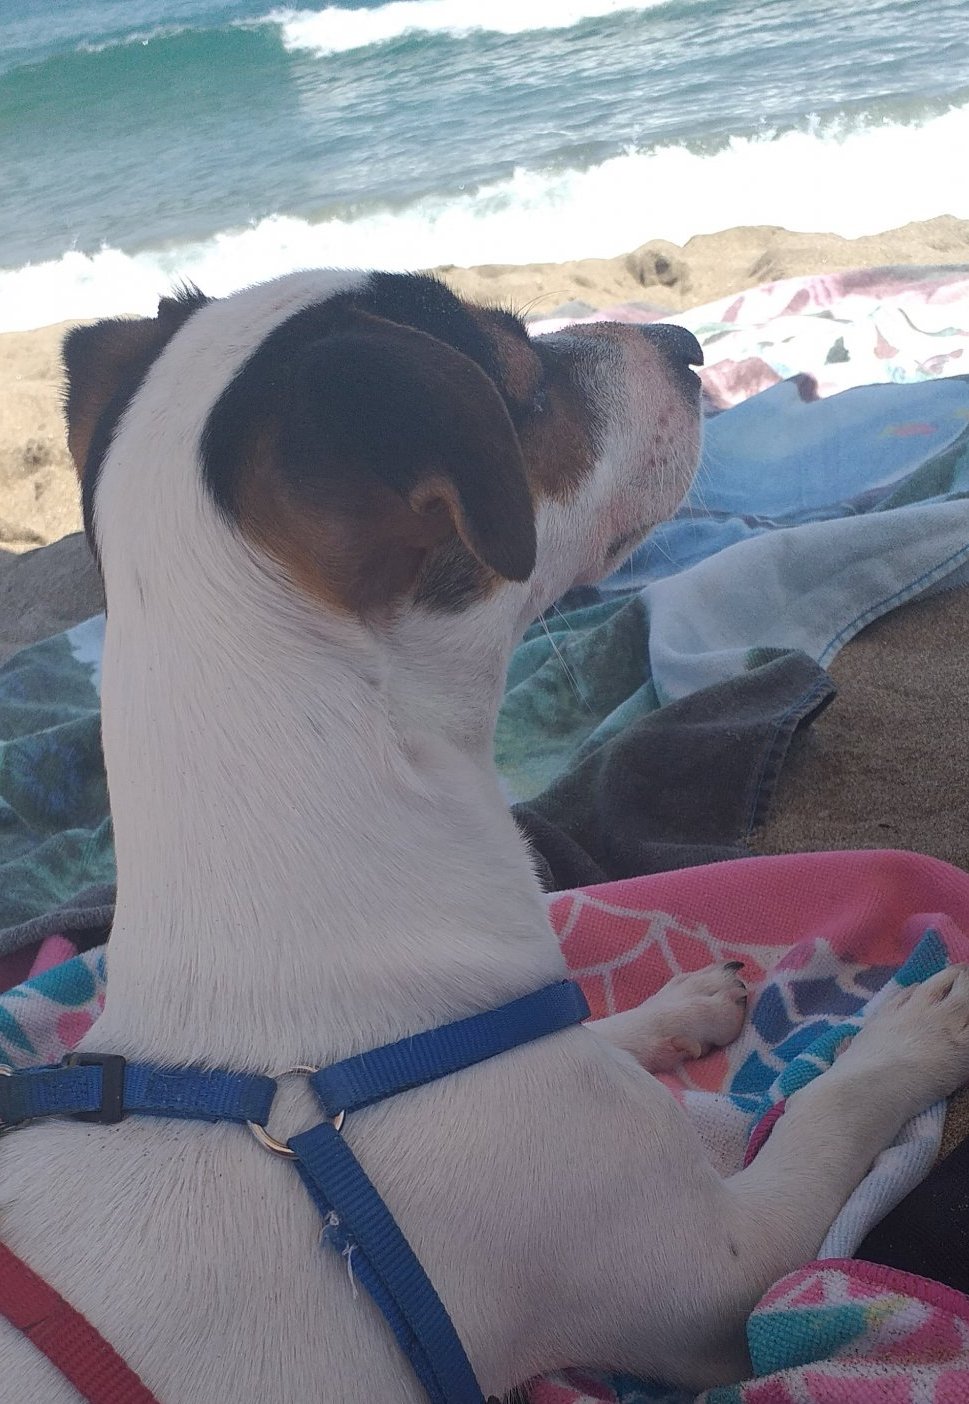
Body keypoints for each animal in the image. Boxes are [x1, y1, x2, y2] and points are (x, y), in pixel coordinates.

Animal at [1, 268, 968, 1403]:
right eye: (520, 377)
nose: (684, 342)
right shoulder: (723, 1277)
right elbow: (828, 1109)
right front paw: (911, 1030)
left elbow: (596, 1026)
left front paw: (674, 1005)